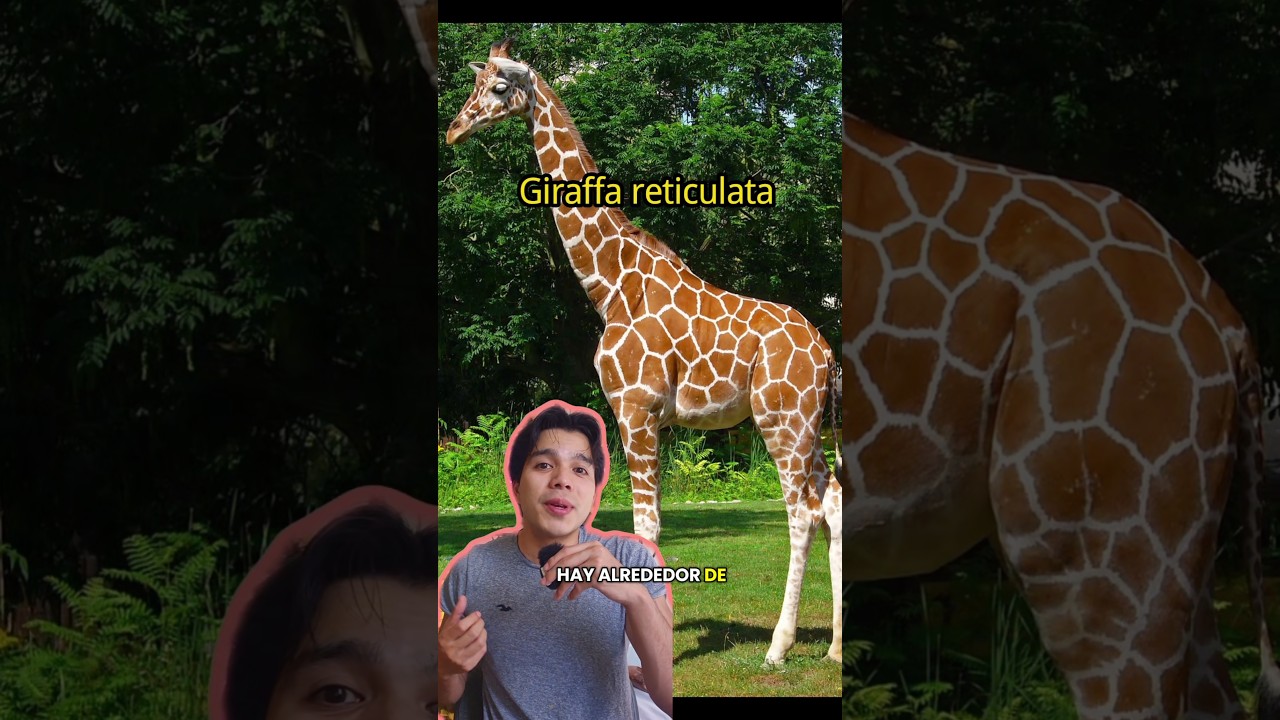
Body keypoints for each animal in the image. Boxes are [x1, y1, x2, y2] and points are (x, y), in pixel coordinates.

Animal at [444, 39, 842, 667]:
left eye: (500, 87)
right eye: (476, 82)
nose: (455, 129)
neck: (609, 285)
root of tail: (826, 352)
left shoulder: (637, 408)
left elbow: (646, 524)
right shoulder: (639, 414)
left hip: (783, 421)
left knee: (802, 513)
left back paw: (778, 649)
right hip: (809, 426)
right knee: (833, 508)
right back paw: (832, 648)